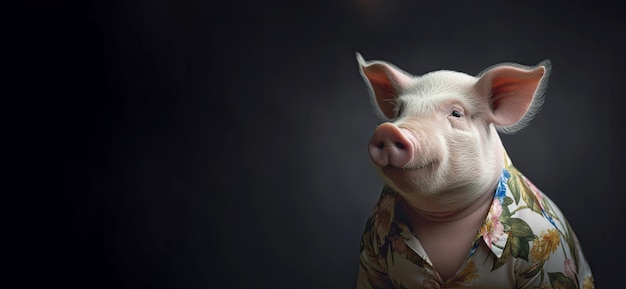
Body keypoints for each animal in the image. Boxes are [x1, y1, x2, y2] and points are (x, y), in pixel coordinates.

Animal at [354, 53, 592, 286]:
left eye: (456, 113)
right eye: (399, 111)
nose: (388, 130)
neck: (444, 220)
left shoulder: (542, 253)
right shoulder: (370, 249)